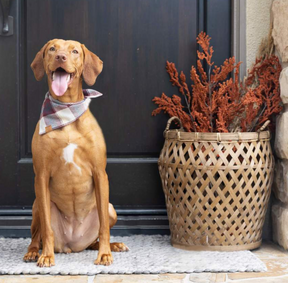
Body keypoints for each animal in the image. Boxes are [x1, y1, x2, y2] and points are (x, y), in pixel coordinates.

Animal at [23, 38, 129, 268]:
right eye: (52, 48)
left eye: (74, 51)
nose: (60, 57)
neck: (66, 110)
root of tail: (71, 245)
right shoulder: (41, 175)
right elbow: (46, 228)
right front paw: (46, 256)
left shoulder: (100, 173)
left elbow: (103, 227)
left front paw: (105, 254)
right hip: (36, 205)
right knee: (36, 235)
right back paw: (34, 252)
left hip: (110, 208)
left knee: (95, 238)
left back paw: (113, 245)